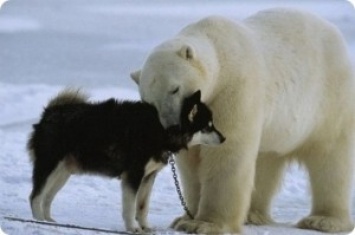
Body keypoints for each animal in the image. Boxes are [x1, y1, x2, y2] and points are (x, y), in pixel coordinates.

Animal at [131, 8, 355, 234]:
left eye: (175, 89)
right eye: (149, 102)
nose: (171, 127)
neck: (219, 49)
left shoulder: (233, 89)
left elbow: (226, 151)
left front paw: (205, 223)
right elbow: (192, 161)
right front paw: (185, 218)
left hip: (328, 100)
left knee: (330, 159)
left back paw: (323, 220)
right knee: (266, 159)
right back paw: (253, 214)